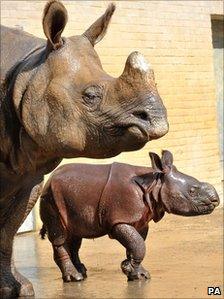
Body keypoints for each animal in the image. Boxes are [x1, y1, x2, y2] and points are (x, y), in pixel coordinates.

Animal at [39, 151, 219, 282]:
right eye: (192, 191)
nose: (216, 200)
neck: (155, 184)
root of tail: (48, 180)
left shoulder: (140, 220)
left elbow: (136, 244)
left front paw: (137, 273)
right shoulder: (119, 220)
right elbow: (138, 245)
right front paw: (128, 269)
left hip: (68, 197)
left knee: (75, 236)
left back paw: (82, 272)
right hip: (49, 198)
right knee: (60, 236)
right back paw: (74, 278)